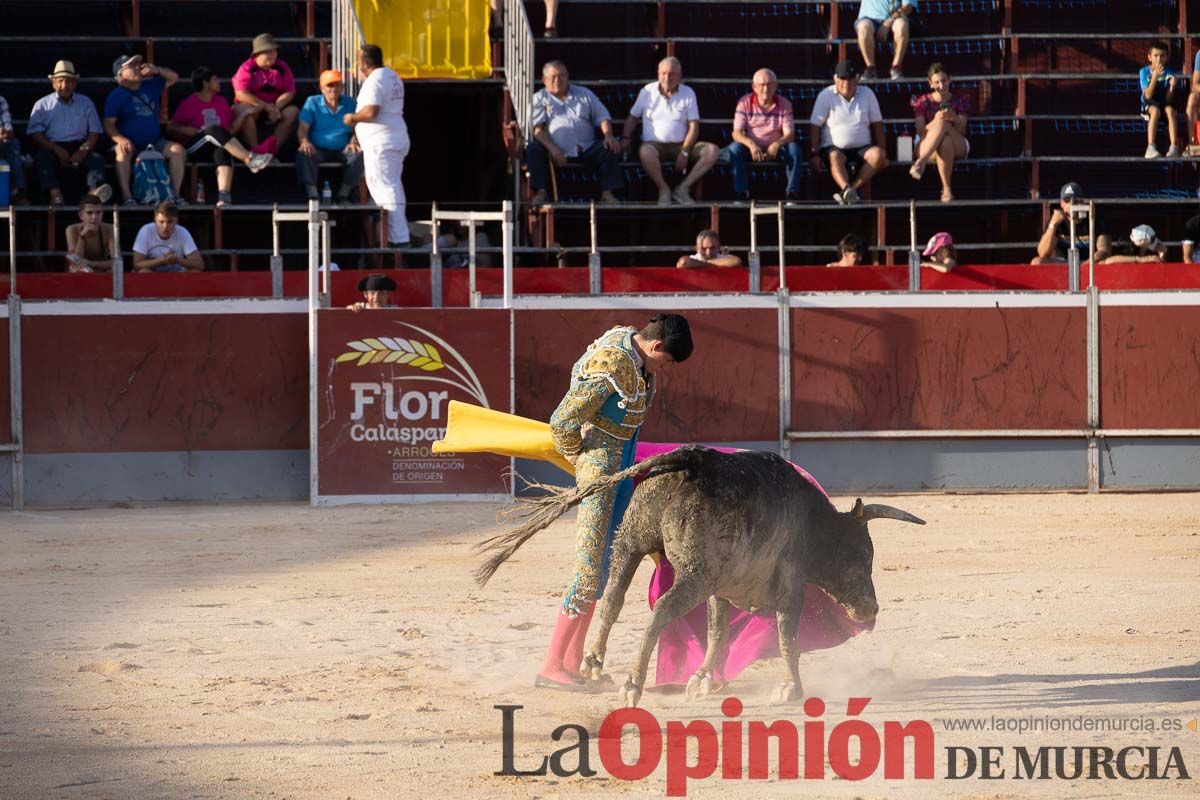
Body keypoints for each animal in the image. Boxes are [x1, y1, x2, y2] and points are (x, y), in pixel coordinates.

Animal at [472, 448, 921, 710]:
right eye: (861, 556)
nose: (870, 608)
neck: (814, 524)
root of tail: (692, 459)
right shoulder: (788, 588)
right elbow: (787, 639)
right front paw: (790, 690)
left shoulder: (721, 586)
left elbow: (717, 630)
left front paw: (702, 680)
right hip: (694, 574)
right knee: (661, 610)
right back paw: (632, 684)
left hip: (632, 544)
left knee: (612, 599)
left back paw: (595, 665)